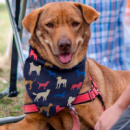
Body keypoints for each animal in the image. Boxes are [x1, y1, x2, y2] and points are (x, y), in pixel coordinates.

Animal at [0, 1, 129, 129]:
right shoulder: (33, 120)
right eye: (49, 24)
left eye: (75, 23)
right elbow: (6, 126)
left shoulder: (100, 119)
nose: (64, 44)